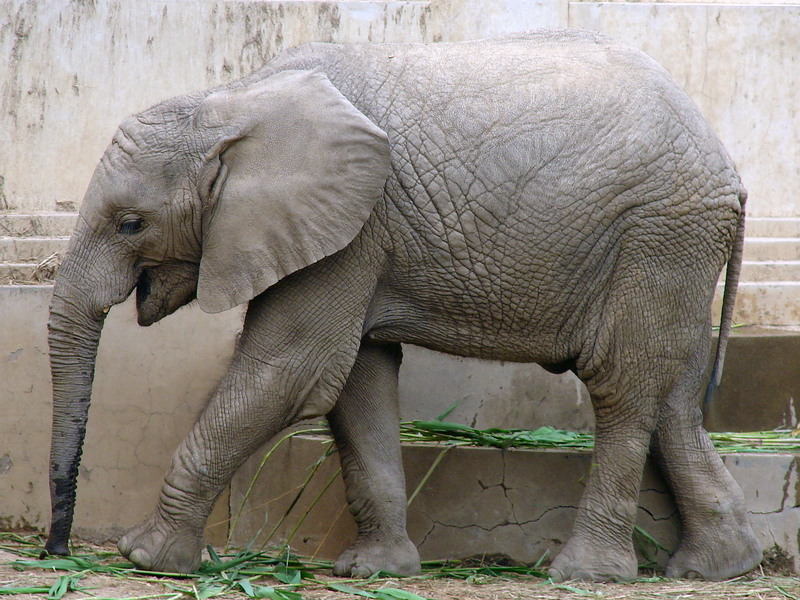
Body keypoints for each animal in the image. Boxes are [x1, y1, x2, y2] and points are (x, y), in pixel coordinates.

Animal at [42, 28, 761, 582]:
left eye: (131, 224)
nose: (55, 551)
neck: (234, 100)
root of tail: (728, 164)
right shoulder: (356, 232)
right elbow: (357, 377)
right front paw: (376, 572)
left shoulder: (355, 226)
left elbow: (292, 370)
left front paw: (145, 557)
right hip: (673, 248)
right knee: (673, 391)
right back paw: (717, 567)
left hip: (656, 234)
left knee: (623, 386)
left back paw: (586, 575)